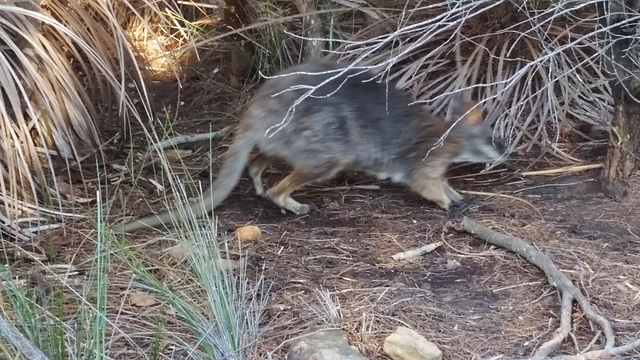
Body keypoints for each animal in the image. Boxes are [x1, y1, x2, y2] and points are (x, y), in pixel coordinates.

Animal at [112, 60, 508, 233]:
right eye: (493, 138)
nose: (506, 153)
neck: (448, 138)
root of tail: (257, 111)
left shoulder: (436, 167)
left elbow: (445, 184)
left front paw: (458, 196)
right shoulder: (422, 166)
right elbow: (428, 187)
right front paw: (450, 204)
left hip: (284, 141)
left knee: (257, 161)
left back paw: (259, 185)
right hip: (326, 149)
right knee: (282, 184)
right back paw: (293, 204)